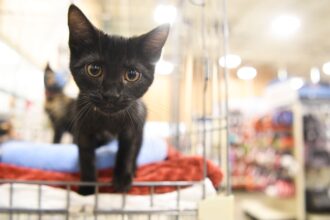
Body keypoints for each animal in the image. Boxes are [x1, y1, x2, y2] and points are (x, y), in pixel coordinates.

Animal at [67, 4, 170, 194]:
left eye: (132, 75)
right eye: (94, 69)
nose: (111, 94)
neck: (109, 120)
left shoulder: (132, 128)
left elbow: (127, 152)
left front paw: (122, 179)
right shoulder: (83, 129)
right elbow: (86, 155)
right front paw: (88, 186)